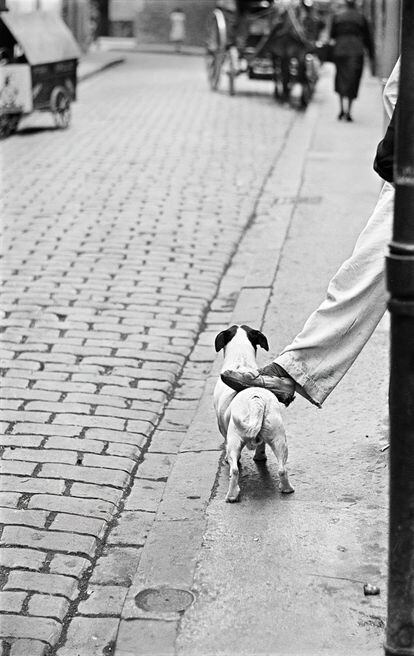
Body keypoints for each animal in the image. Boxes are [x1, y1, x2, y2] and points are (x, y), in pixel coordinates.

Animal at [213, 322, 294, 502]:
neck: (241, 361)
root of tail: (256, 401)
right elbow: (261, 446)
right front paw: (260, 456)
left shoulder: (224, 430)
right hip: (279, 439)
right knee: (282, 468)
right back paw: (286, 488)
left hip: (235, 440)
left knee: (235, 469)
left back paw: (232, 495)